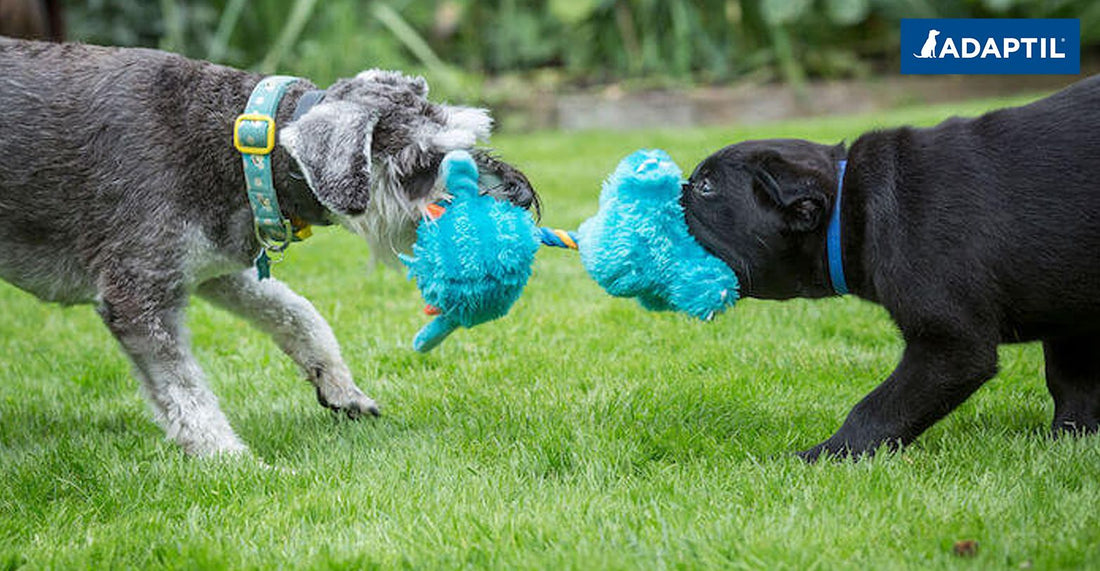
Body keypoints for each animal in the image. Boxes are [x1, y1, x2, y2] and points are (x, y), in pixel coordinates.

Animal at [0, 37, 536, 457]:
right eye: (421, 163)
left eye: (474, 134)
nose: (521, 197)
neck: (243, 143)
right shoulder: (139, 292)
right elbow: (184, 390)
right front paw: (230, 460)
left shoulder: (216, 268)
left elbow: (297, 312)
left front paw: (341, 388)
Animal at [682, 74, 1100, 459]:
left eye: (706, 186)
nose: (673, 192)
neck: (852, 207)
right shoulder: (1070, 316)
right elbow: (1072, 383)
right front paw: (1070, 442)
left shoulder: (951, 344)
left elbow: (876, 408)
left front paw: (825, 455)